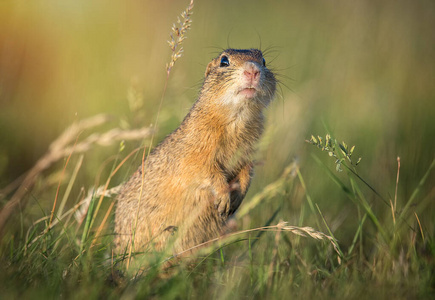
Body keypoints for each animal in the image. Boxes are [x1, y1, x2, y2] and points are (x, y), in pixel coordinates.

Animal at [115, 49, 276, 255]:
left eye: (263, 61)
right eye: (224, 61)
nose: (253, 70)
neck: (237, 120)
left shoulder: (249, 154)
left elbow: (247, 172)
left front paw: (237, 199)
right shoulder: (196, 152)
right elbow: (207, 171)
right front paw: (223, 199)